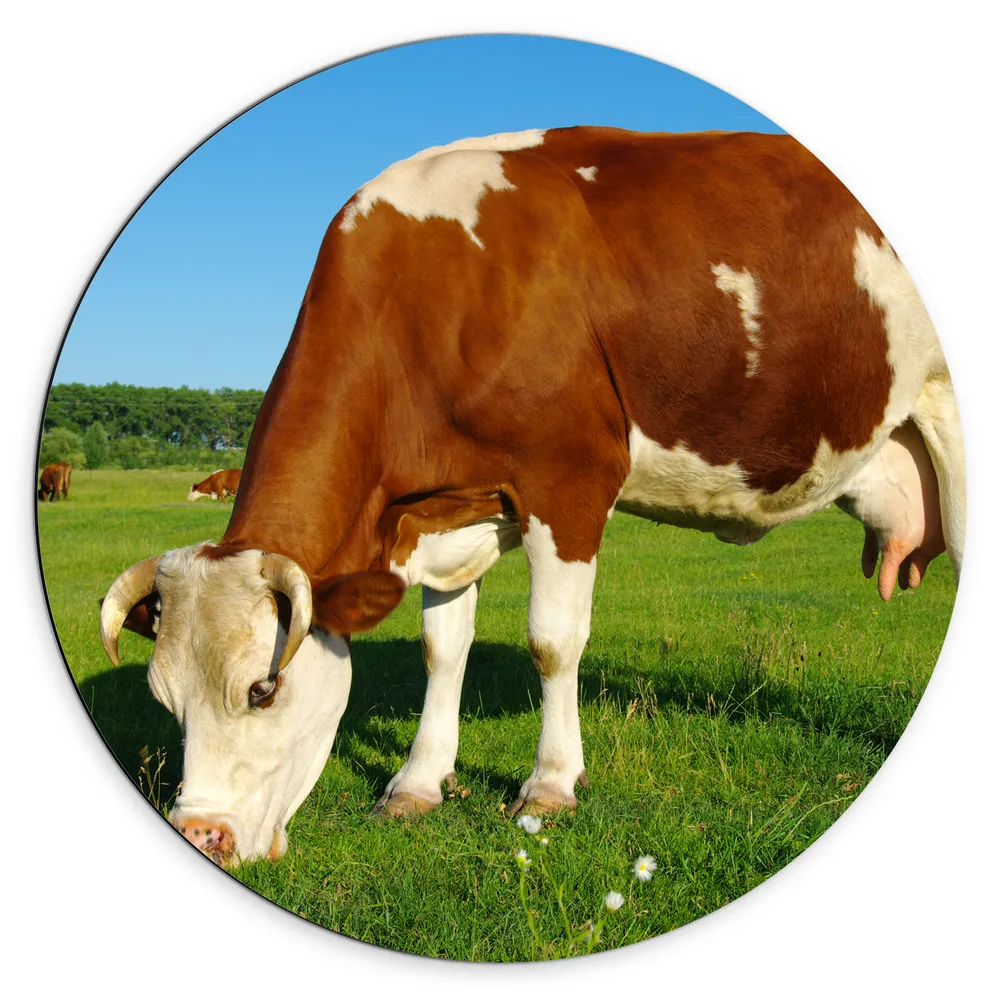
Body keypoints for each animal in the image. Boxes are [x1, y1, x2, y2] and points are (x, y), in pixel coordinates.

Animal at [100, 127, 965, 867]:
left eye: (262, 688)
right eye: (164, 699)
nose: (200, 836)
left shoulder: (570, 478)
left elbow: (552, 642)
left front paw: (549, 785)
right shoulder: (447, 511)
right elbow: (442, 648)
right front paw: (417, 783)